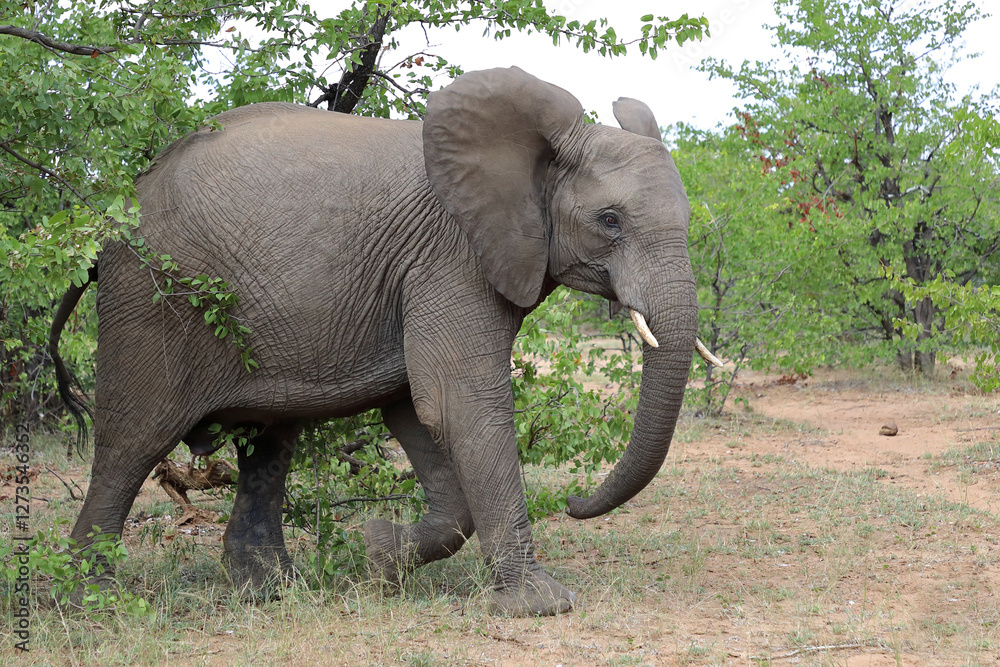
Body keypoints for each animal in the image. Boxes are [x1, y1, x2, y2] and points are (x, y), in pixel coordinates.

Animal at [50, 66, 715, 617]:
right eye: (610, 221)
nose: (577, 501)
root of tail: (112, 209)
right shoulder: (451, 258)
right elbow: (458, 402)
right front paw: (539, 605)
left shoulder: (423, 272)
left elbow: (418, 411)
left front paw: (376, 554)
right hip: (152, 297)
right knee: (133, 442)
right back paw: (92, 602)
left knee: (269, 442)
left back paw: (268, 590)